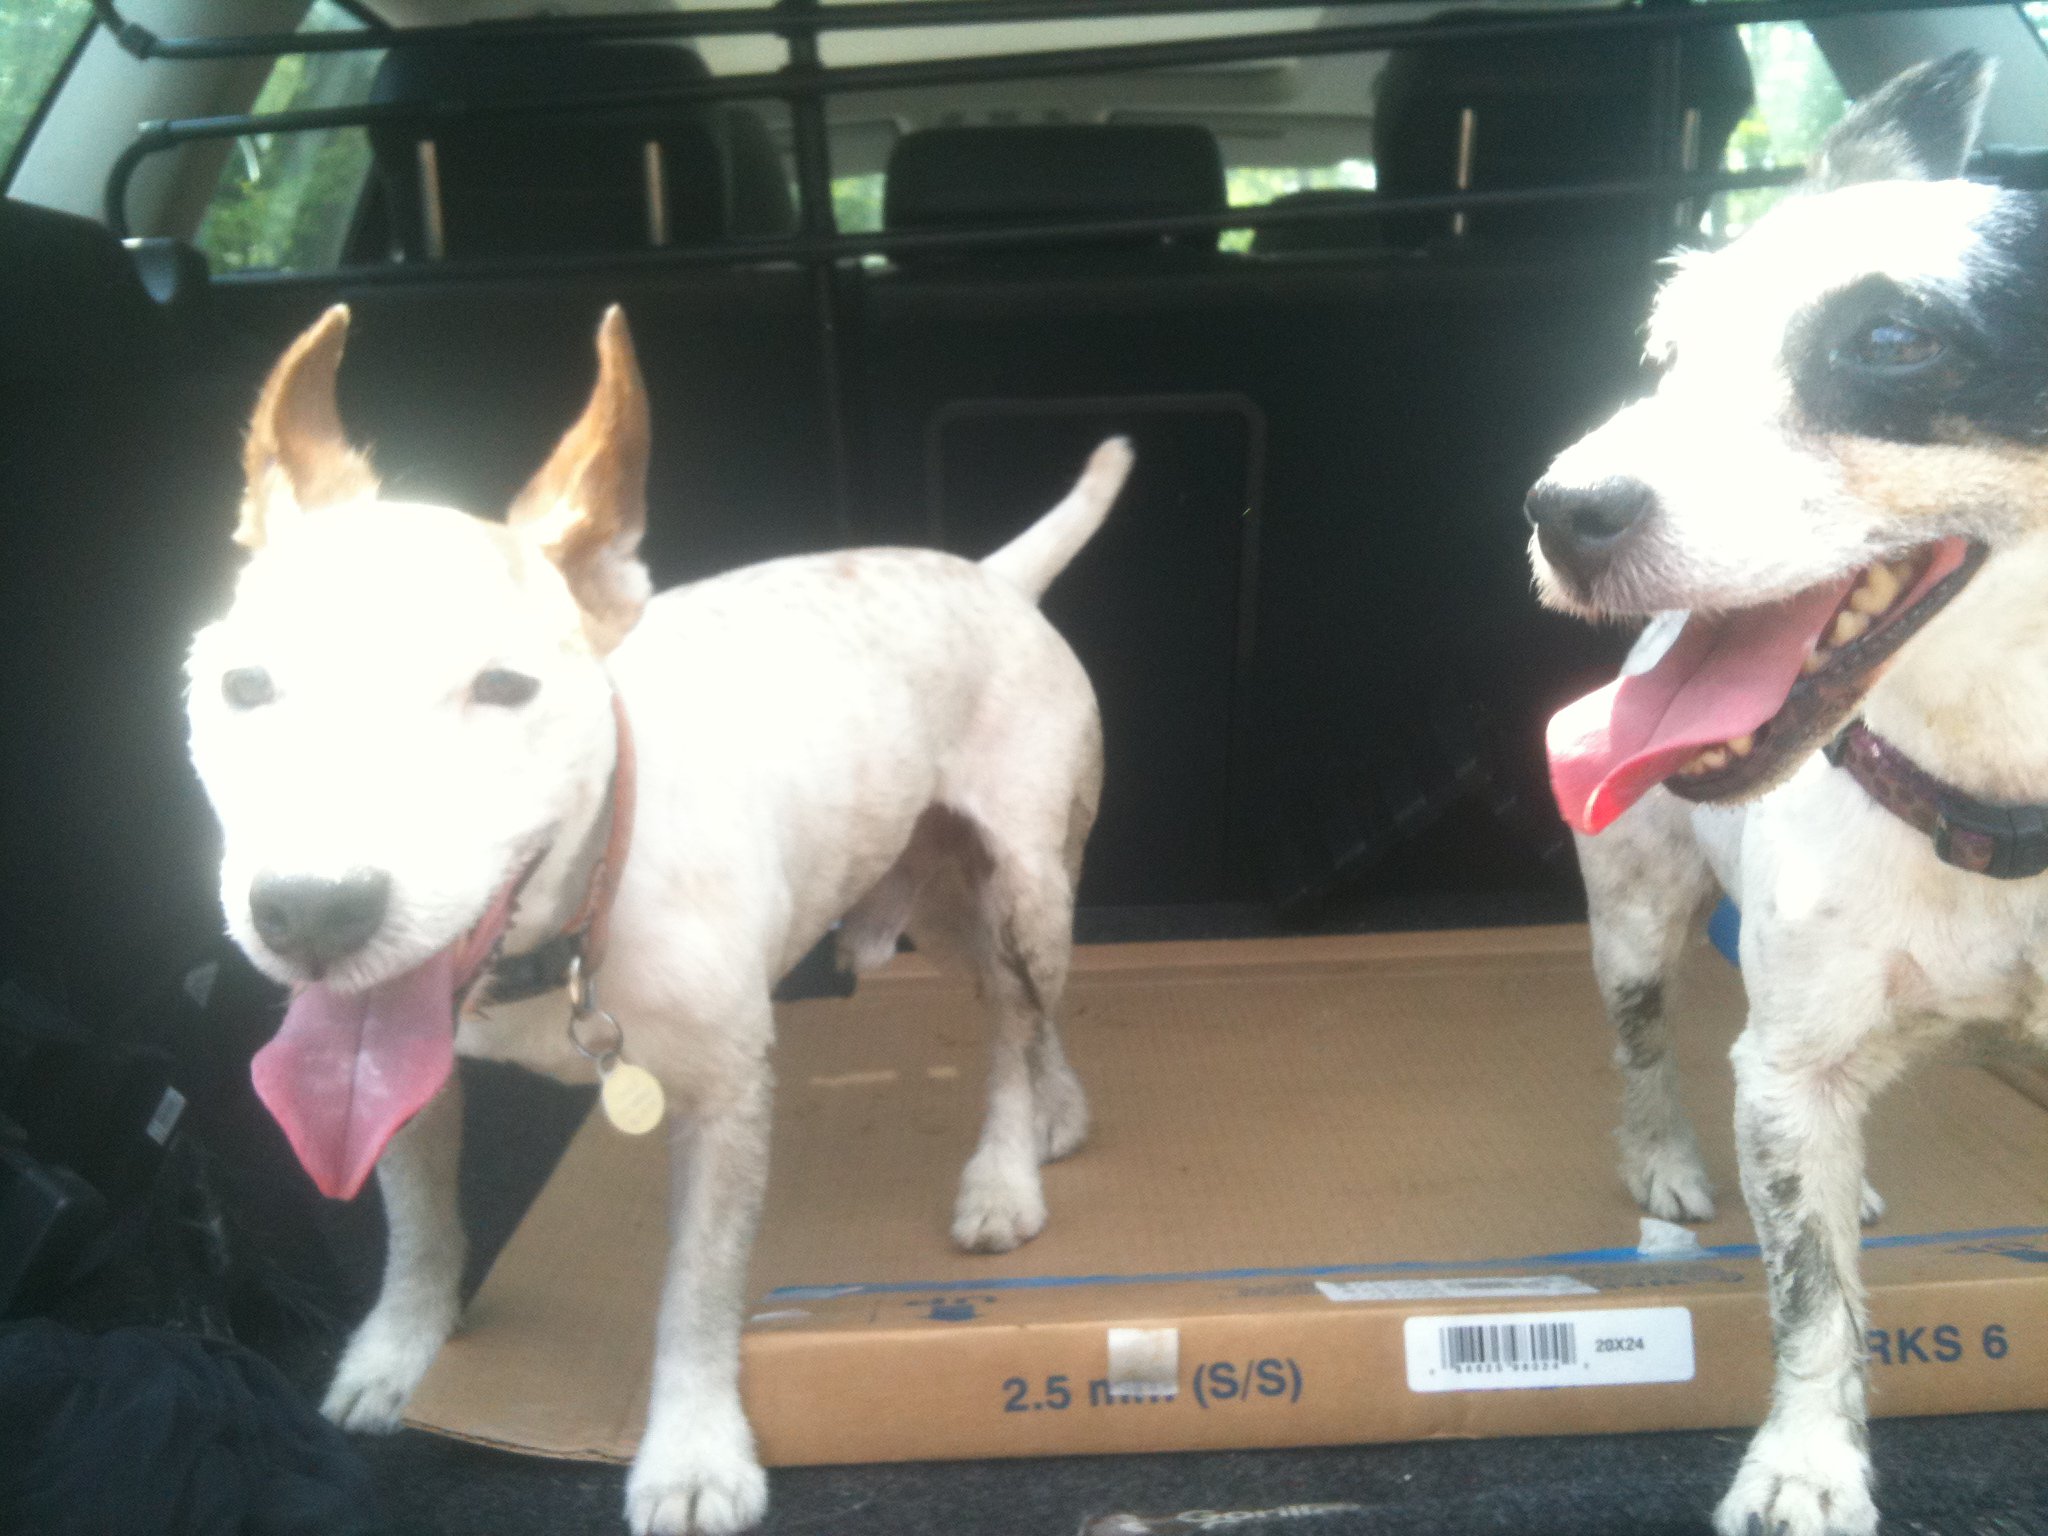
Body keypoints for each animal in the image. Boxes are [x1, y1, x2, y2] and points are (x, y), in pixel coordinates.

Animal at [185, 304, 1130, 1534]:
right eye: (243, 688)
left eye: (504, 688)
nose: (310, 908)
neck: (572, 917)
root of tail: (991, 577)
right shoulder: (402, 1082)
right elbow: (418, 1225)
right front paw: (400, 1353)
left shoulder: (724, 1099)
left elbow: (695, 1290)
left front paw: (689, 1453)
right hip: (943, 902)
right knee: (1019, 1007)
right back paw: (1056, 1111)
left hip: (1025, 878)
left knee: (1015, 1026)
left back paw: (1004, 1173)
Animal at [1525, 50, 2047, 1536]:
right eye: (1665, 354)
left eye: (1891, 339)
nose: (1559, 507)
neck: (1998, 806)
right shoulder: (1787, 1067)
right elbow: (1812, 1302)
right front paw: (1807, 1467)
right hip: (1634, 922)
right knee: (1645, 1047)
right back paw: (1663, 1158)